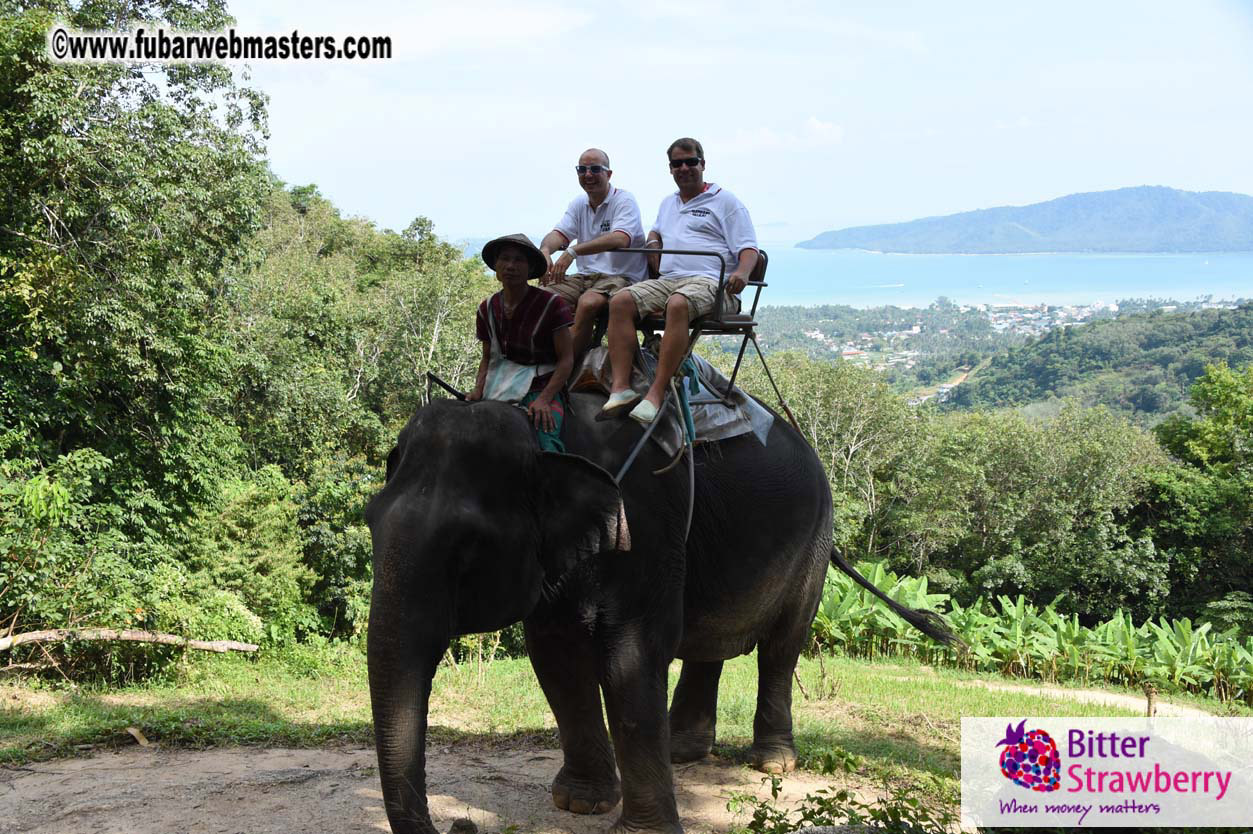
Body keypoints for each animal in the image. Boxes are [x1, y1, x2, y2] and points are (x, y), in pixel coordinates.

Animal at [364, 390, 956, 834]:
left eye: (466, 547)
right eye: (370, 521)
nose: (460, 823)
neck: (544, 432)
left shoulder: (644, 523)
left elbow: (630, 652)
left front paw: (638, 828)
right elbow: (555, 654)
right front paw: (581, 804)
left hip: (813, 540)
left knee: (782, 647)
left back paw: (771, 762)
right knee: (709, 642)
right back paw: (684, 751)